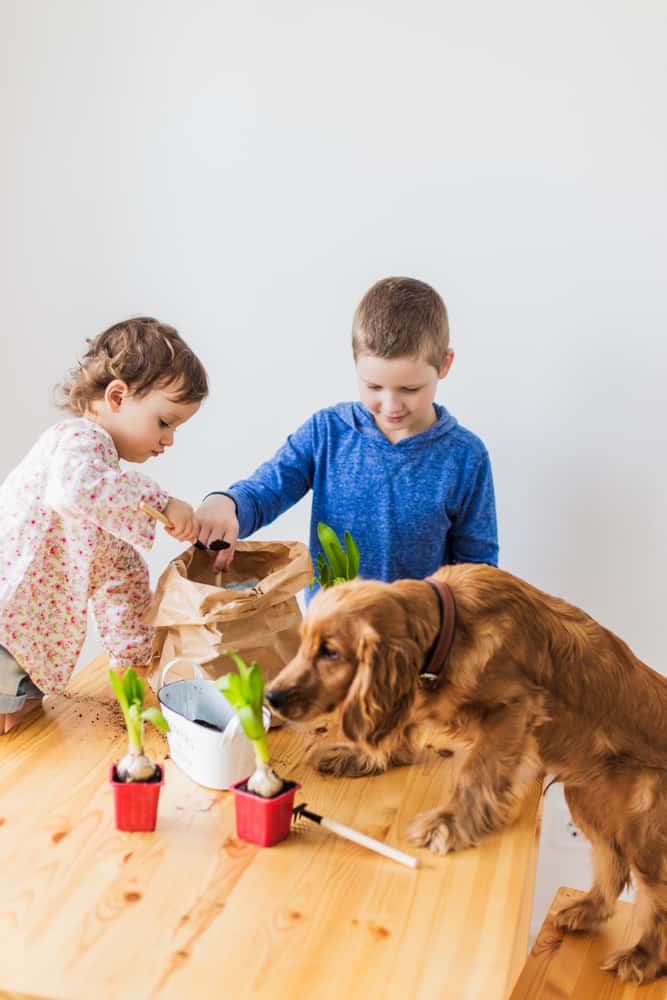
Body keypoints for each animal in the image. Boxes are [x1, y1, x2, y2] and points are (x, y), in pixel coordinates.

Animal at [268, 564, 667, 984]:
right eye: (303, 644)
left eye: (330, 652)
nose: (271, 697)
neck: (453, 627)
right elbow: (401, 726)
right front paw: (357, 755)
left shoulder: (513, 708)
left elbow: (477, 771)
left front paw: (448, 822)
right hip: (589, 801)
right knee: (612, 863)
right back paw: (586, 910)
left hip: (643, 825)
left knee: (656, 894)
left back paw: (643, 956)